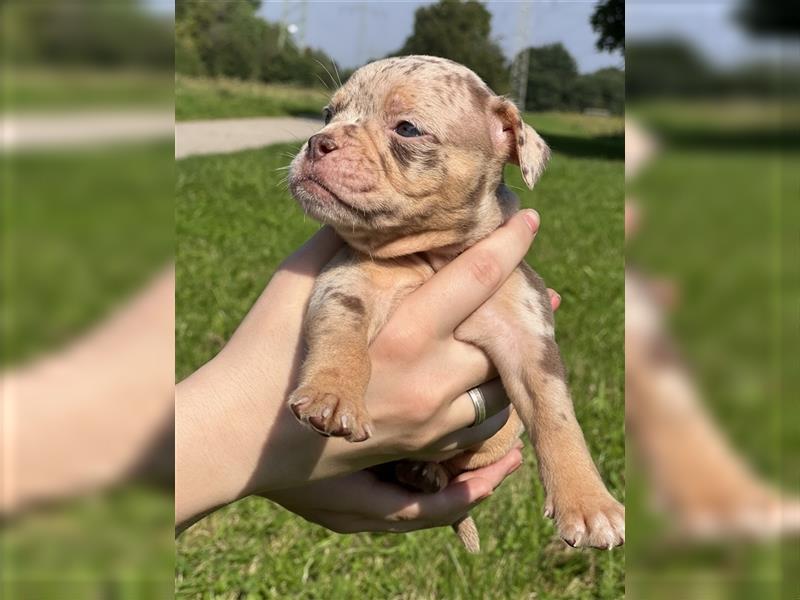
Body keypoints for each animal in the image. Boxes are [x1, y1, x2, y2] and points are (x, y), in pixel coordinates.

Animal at [288, 57, 624, 552]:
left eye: (407, 128)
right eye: (327, 114)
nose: (318, 141)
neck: (432, 255)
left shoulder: (530, 339)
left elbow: (556, 414)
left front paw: (589, 502)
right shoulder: (343, 285)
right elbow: (341, 341)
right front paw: (333, 396)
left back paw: (424, 471)